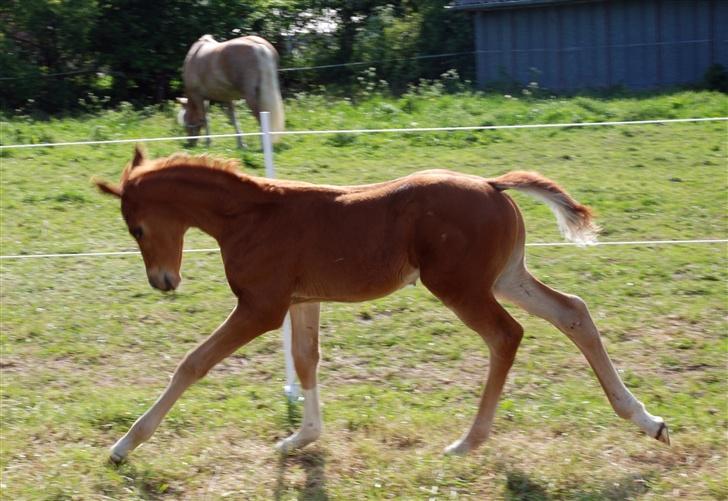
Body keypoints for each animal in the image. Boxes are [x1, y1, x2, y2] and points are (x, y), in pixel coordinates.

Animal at [94, 146, 668, 462]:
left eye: (137, 228)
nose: (163, 281)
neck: (250, 216)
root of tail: (492, 185)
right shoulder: (302, 300)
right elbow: (306, 360)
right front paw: (300, 439)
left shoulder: (260, 308)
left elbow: (192, 364)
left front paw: (124, 447)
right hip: (506, 277)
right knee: (573, 311)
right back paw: (646, 419)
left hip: (460, 287)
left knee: (507, 336)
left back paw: (467, 443)